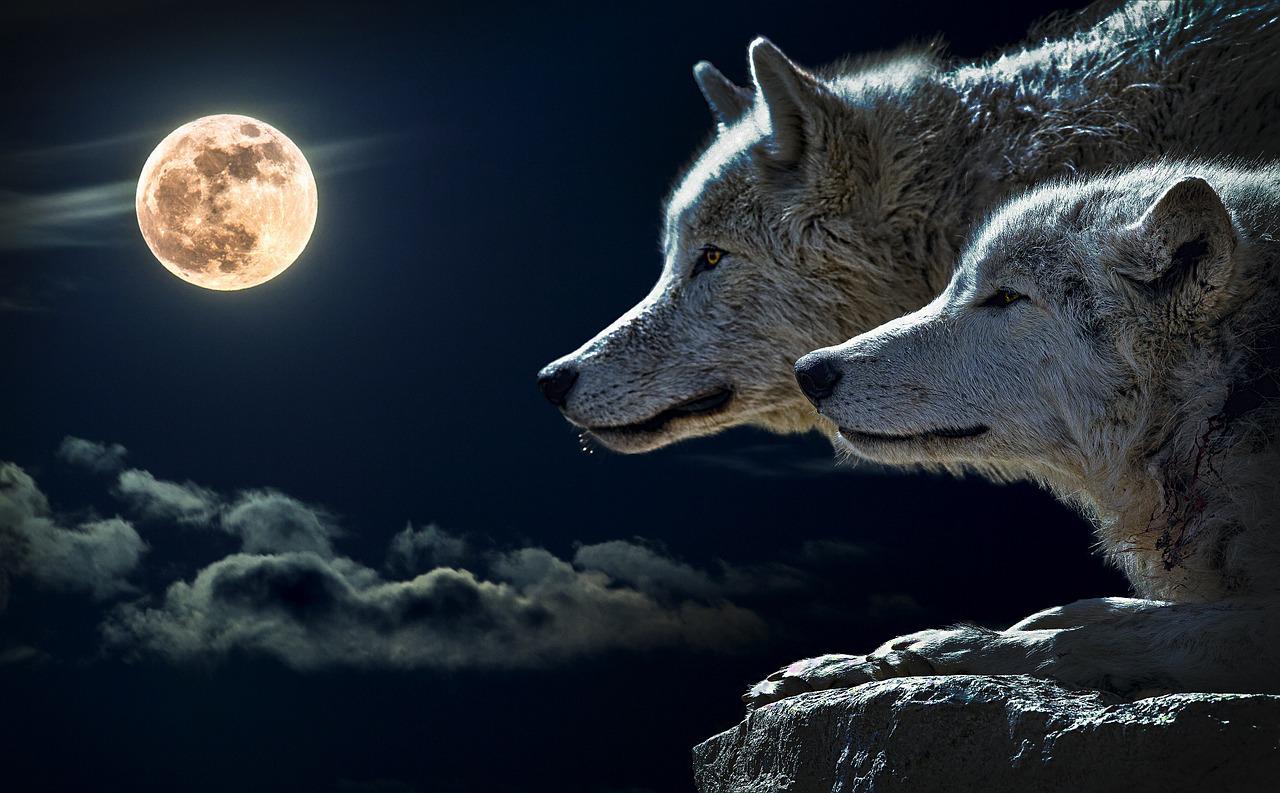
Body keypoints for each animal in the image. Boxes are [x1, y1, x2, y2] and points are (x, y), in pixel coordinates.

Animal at [745, 161, 1280, 706]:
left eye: (1006, 296)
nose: (809, 371)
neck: (1225, 402)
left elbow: (1091, 638)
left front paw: (932, 650)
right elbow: (1099, 611)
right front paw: (840, 664)